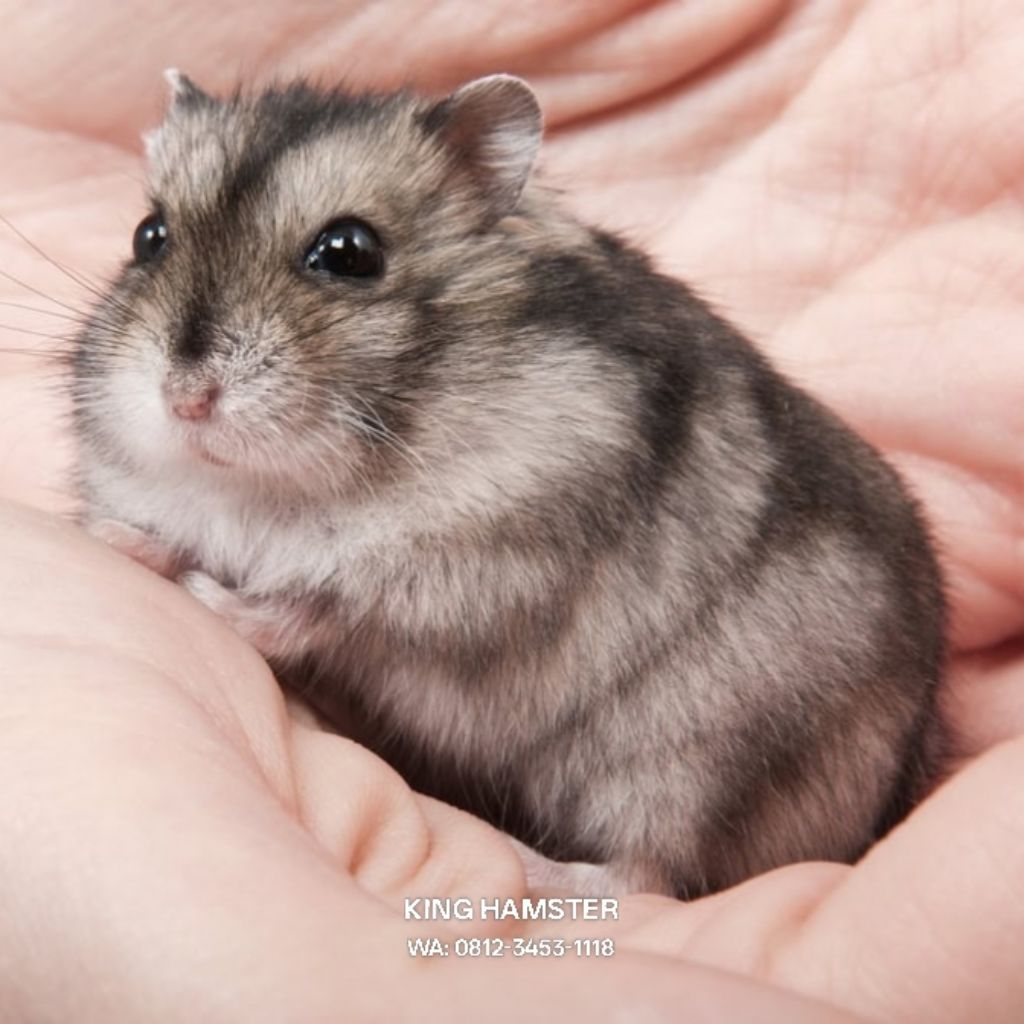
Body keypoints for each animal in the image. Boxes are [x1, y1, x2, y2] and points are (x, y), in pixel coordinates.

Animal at [71, 71, 946, 898]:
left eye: (350, 251)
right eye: (148, 236)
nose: (185, 399)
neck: (277, 486)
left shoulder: (479, 570)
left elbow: (313, 608)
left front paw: (200, 590)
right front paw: (114, 537)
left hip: (694, 758)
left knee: (647, 871)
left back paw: (536, 867)